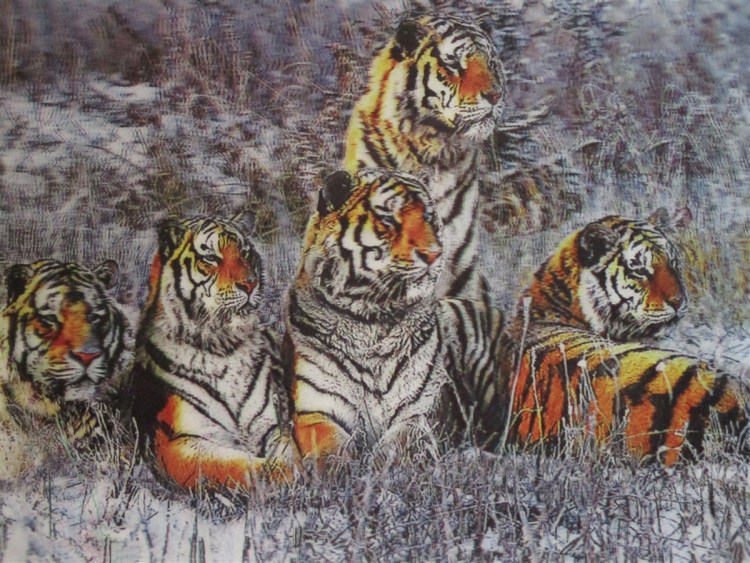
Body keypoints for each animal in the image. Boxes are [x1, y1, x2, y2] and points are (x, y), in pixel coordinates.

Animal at [130, 216, 299, 494]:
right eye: (210, 257)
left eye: (245, 252)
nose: (250, 283)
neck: (223, 345)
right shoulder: (179, 441)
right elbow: (233, 465)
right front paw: (285, 476)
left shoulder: (271, 425)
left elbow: (287, 450)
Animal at [286, 168, 505, 469]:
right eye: (388, 218)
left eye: (428, 217)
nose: (434, 254)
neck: (370, 320)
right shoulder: (317, 410)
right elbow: (329, 452)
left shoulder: (419, 410)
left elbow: (399, 445)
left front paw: (379, 469)